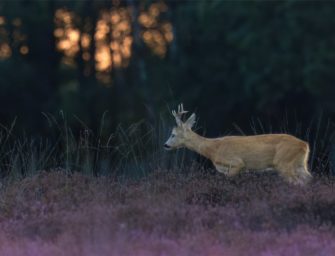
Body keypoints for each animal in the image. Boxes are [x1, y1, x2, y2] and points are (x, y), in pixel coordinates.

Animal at [165, 104, 312, 186]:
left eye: (173, 134)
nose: (165, 145)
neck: (214, 150)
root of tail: (305, 145)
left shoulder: (236, 163)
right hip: (300, 164)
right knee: (308, 180)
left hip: (283, 163)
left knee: (298, 183)